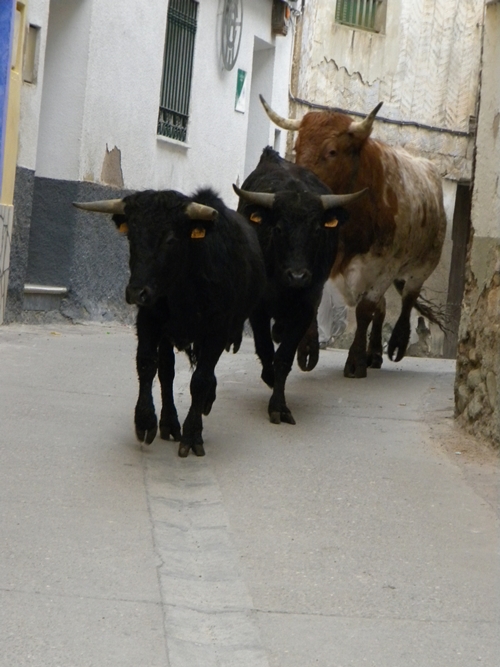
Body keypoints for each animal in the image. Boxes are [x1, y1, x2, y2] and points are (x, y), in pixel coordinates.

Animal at [260, 99, 448, 380]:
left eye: (332, 151)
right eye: (297, 147)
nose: (298, 190)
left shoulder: (384, 267)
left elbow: (364, 311)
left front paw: (356, 360)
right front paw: (308, 349)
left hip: (424, 265)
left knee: (407, 299)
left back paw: (397, 343)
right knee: (383, 308)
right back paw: (376, 353)